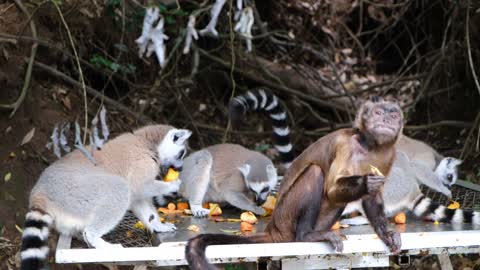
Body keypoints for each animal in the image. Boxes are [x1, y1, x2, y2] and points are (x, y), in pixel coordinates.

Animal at [186, 97, 404, 270]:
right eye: (378, 113)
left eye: (393, 116)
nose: (386, 120)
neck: (368, 146)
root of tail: (274, 228)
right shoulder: (347, 146)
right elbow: (333, 190)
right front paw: (367, 182)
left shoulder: (389, 153)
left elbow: (372, 198)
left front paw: (386, 234)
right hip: (286, 217)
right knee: (315, 172)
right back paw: (306, 235)